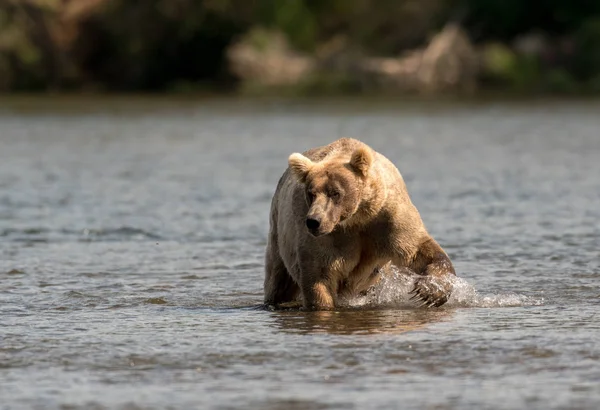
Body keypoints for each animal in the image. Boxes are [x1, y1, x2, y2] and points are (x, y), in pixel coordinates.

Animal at [262, 138, 454, 310]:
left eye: (335, 192)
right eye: (311, 193)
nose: (314, 221)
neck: (356, 217)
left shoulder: (387, 218)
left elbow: (418, 249)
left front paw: (430, 290)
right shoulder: (325, 237)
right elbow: (319, 275)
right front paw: (323, 304)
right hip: (279, 236)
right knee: (278, 280)